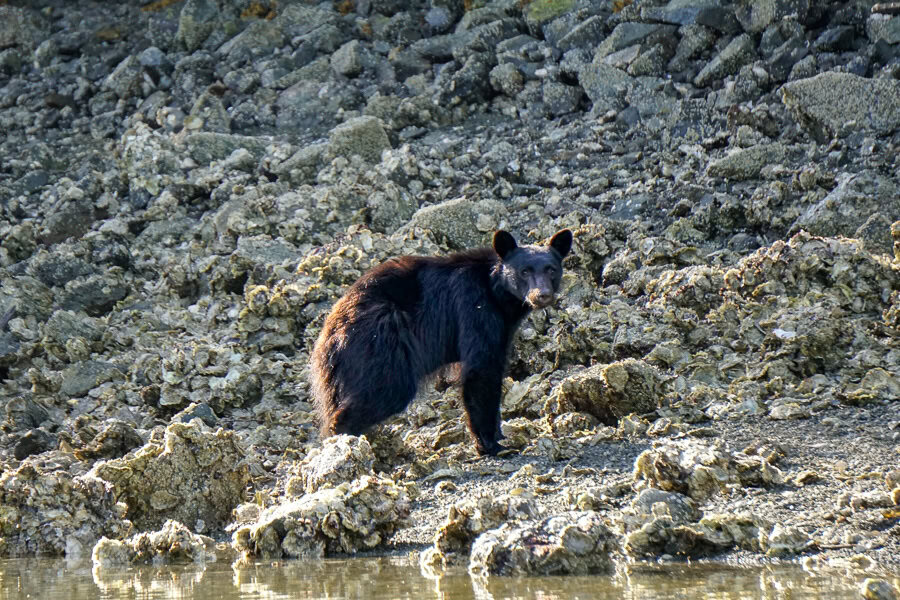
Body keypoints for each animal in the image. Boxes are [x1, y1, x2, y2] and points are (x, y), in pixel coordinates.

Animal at [309, 229, 573, 456]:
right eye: (524, 271)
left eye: (551, 269)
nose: (542, 295)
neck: (495, 289)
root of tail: (329, 335)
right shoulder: (474, 307)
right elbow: (481, 370)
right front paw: (492, 444)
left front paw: (499, 436)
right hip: (379, 344)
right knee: (386, 389)